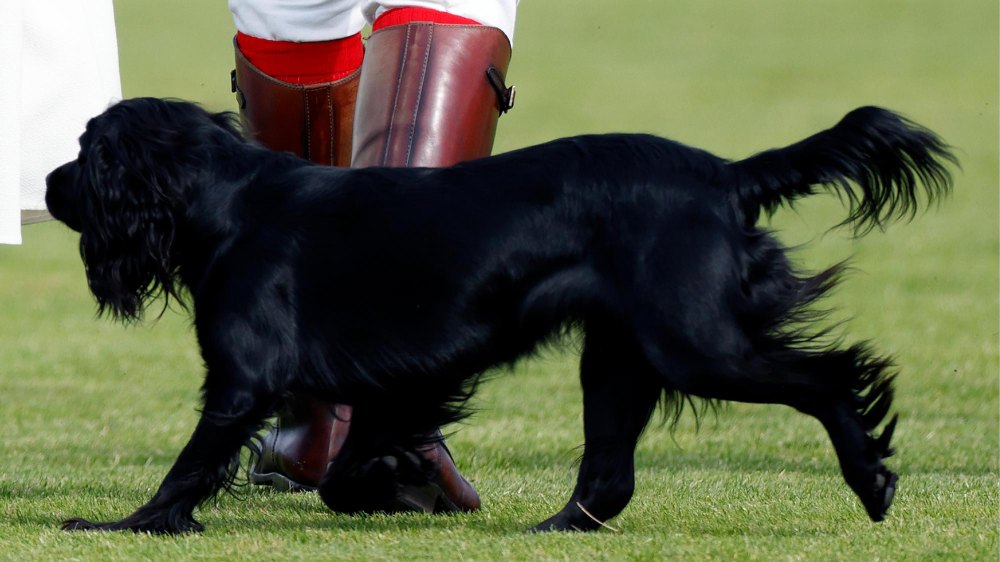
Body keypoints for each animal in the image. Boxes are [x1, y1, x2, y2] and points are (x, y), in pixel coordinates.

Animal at [45, 98, 952, 532]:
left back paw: (872, 480)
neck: (230, 201)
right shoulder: (393, 382)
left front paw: (125, 524)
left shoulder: (241, 382)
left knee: (832, 378)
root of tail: (726, 174)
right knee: (608, 473)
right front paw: (401, 483)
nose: (48, 184)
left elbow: (189, 465)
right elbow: (353, 460)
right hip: (617, 356)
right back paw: (556, 528)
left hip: (695, 342)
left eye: (86, 151)